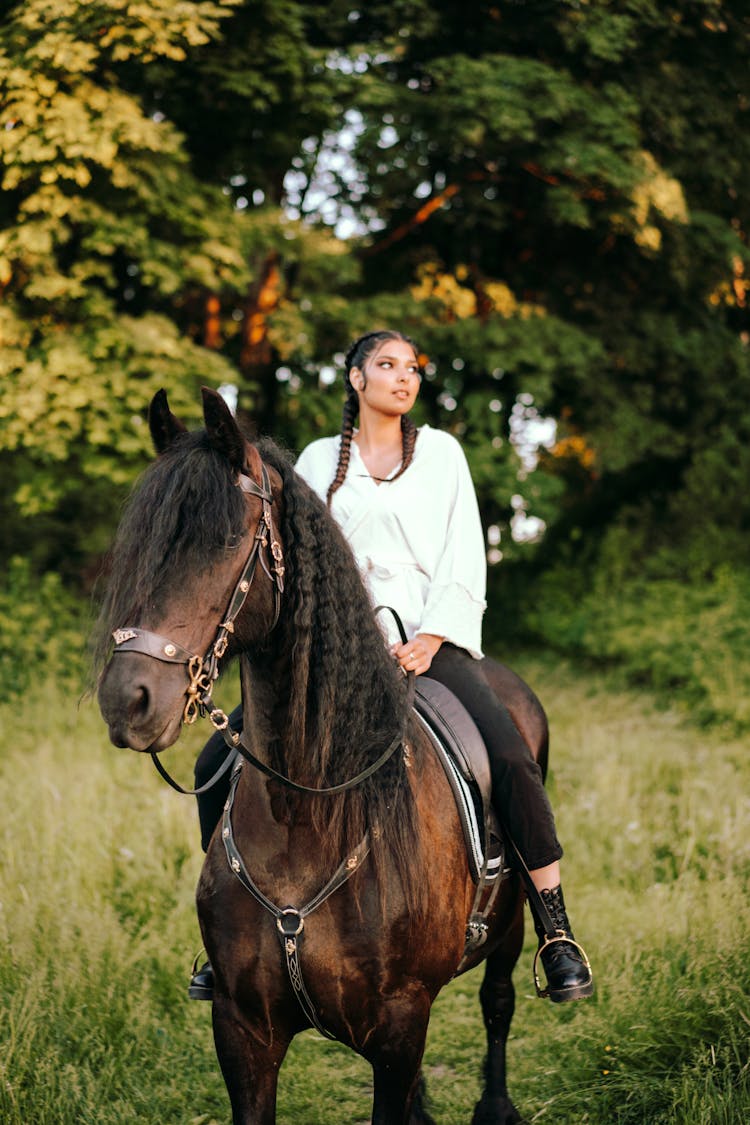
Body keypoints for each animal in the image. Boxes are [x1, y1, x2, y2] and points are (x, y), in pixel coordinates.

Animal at [96, 389, 548, 1125]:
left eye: (227, 540)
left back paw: (500, 1098)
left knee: (498, 1002)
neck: (308, 817)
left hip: (508, 926)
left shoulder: (399, 1022)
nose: (128, 699)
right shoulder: (243, 1029)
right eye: (143, 544)